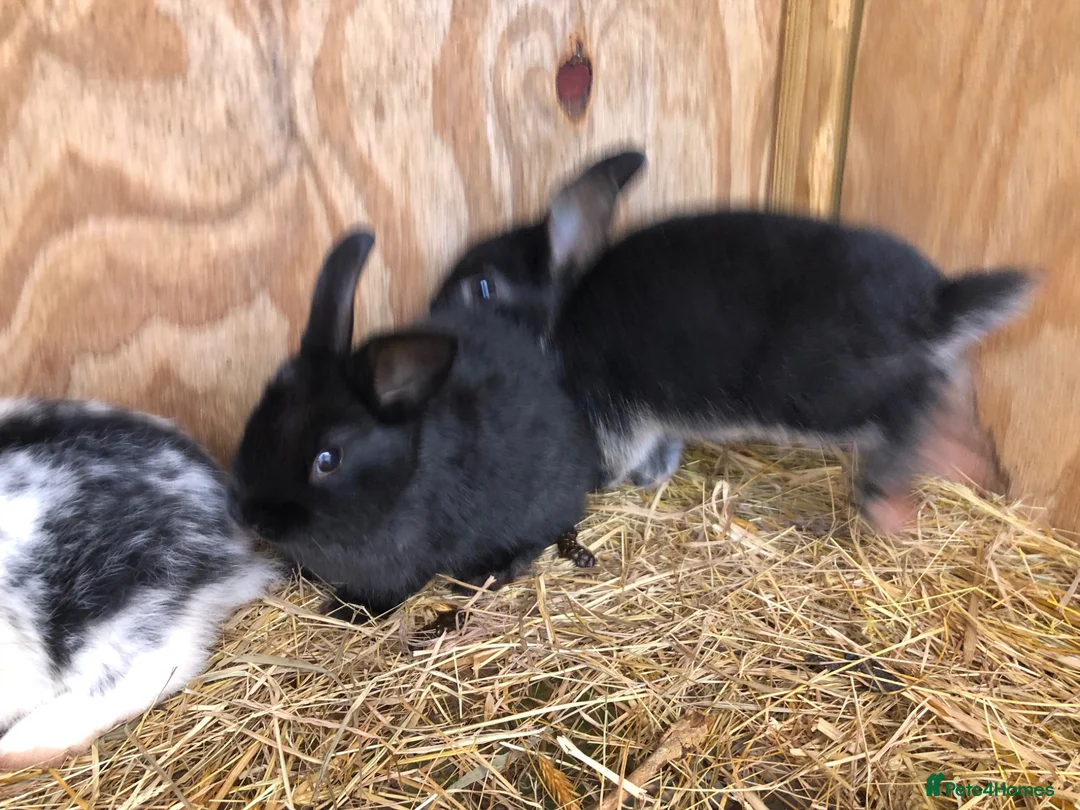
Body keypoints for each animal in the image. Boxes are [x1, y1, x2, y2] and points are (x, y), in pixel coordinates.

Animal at [226, 230, 598, 623]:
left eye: (328, 460)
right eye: (261, 408)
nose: (246, 515)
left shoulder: (408, 559)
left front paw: (346, 610)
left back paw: (485, 574)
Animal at [430, 150, 1035, 532]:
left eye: (481, 288)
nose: (431, 318)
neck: (563, 310)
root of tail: (936, 304)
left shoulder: (608, 404)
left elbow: (616, 453)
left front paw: (606, 483)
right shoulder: (653, 417)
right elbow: (661, 450)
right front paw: (653, 479)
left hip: (825, 390)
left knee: (909, 407)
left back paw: (890, 505)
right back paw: (971, 469)